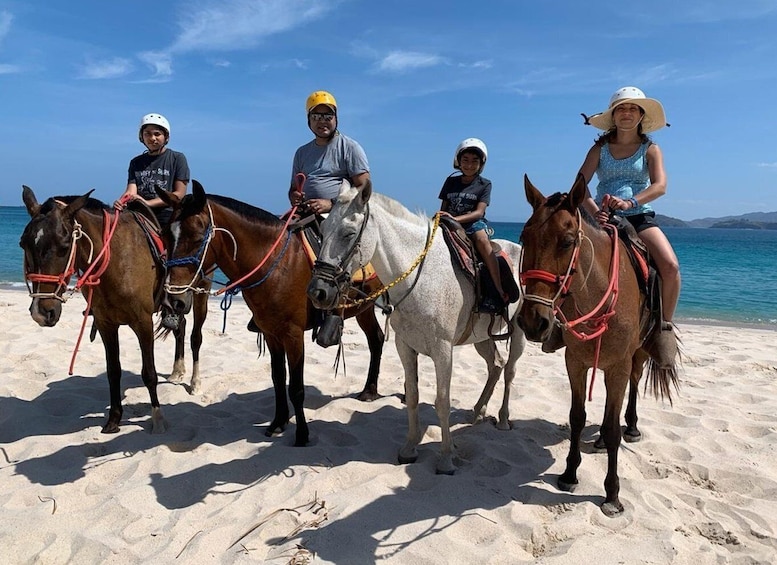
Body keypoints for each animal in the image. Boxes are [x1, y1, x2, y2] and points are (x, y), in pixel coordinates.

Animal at [20, 185, 209, 432]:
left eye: (64, 246)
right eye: (23, 244)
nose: (41, 312)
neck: (116, 262)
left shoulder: (143, 323)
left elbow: (149, 374)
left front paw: (157, 419)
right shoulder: (105, 324)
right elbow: (113, 371)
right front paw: (114, 419)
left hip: (199, 294)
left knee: (195, 337)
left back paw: (195, 382)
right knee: (181, 327)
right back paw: (177, 370)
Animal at [157, 180, 384, 446]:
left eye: (196, 237)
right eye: (164, 235)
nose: (175, 299)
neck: (277, 265)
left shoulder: (293, 335)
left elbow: (296, 387)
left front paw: (302, 435)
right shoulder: (271, 333)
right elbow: (277, 378)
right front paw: (278, 422)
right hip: (364, 309)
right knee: (376, 339)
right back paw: (369, 390)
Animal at [306, 181, 524, 472]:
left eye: (348, 233)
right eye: (323, 230)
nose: (317, 292)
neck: (421, 278)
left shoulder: (443, 350)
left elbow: (442, 401)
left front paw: (446, 458)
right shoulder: (405, 346)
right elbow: (413, 397)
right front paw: (409, 449)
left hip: (519, 332)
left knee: (510, 371)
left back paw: (502, 418)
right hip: (481, 338)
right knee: (496, 365)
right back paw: (478, 411)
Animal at [520, 175, 676, 516]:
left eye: (567, 241)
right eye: (524, 237)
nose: (533, 322)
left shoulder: (618, 366)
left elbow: (613, 427)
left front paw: (612, 494)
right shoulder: (576, 362)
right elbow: (578, 417)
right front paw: (569, 474)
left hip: (637, 355)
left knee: (633, 386)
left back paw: (632, 427)